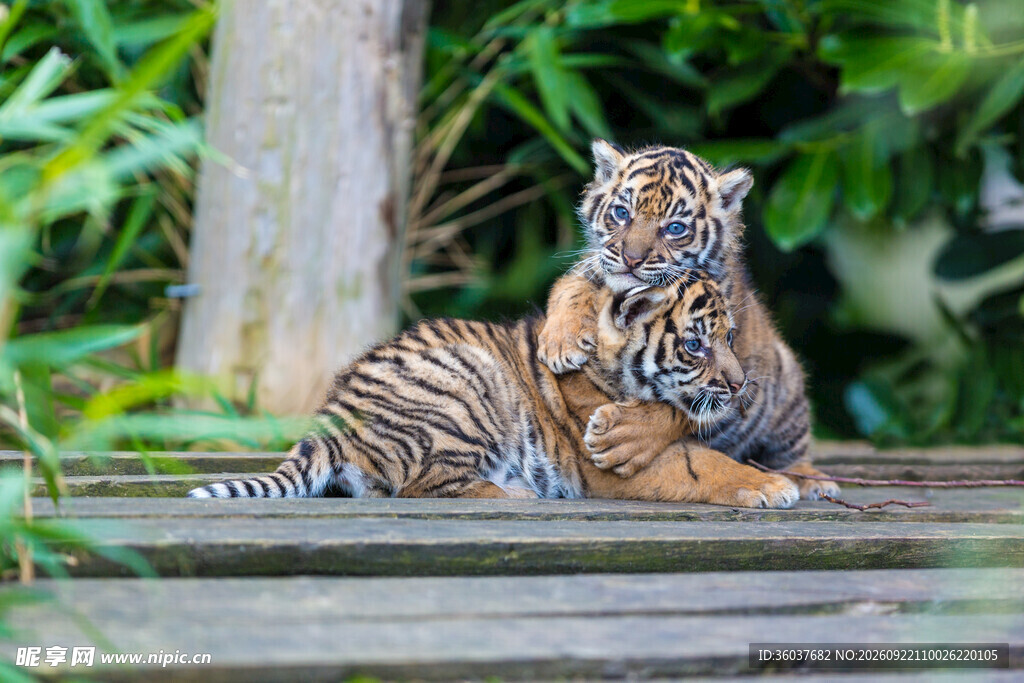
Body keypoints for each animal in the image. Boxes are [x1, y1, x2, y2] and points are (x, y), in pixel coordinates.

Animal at [187, 274, 799, 508]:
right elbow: (701, 465)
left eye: (729, 338)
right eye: (696, 345)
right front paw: (773, 487)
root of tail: (329, 422)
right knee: (425, 486)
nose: (739, 384)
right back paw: (519, 495)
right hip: (467, 387)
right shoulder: (612, 464)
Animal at [536, 139, 838, 500]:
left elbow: (684, 406)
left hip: (788, 385)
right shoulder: (594, 269)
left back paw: (813, 480)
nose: (631, 259)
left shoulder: (733, 360)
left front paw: (623, 437)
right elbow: (568, 285)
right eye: (622, 213)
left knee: (792, 450)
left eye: (675, 228)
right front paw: (560, 342)